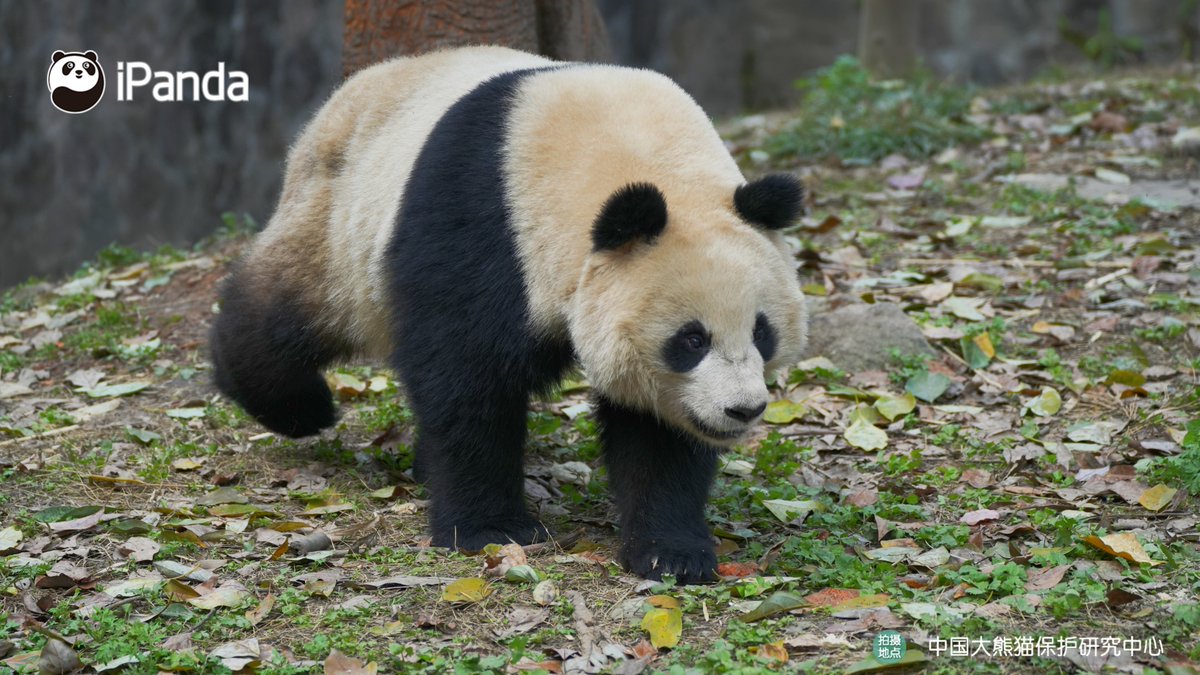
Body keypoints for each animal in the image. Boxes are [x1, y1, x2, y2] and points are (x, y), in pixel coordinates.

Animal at [211, 46, 807, 583]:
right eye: (691, 340)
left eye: (762, 331)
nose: (743, 410)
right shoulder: (484, 223)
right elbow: (466, 380)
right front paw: (491, 530)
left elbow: (658, 427)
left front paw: (672, 554)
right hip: (342, 222)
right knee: (290, 308)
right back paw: (295, 404)